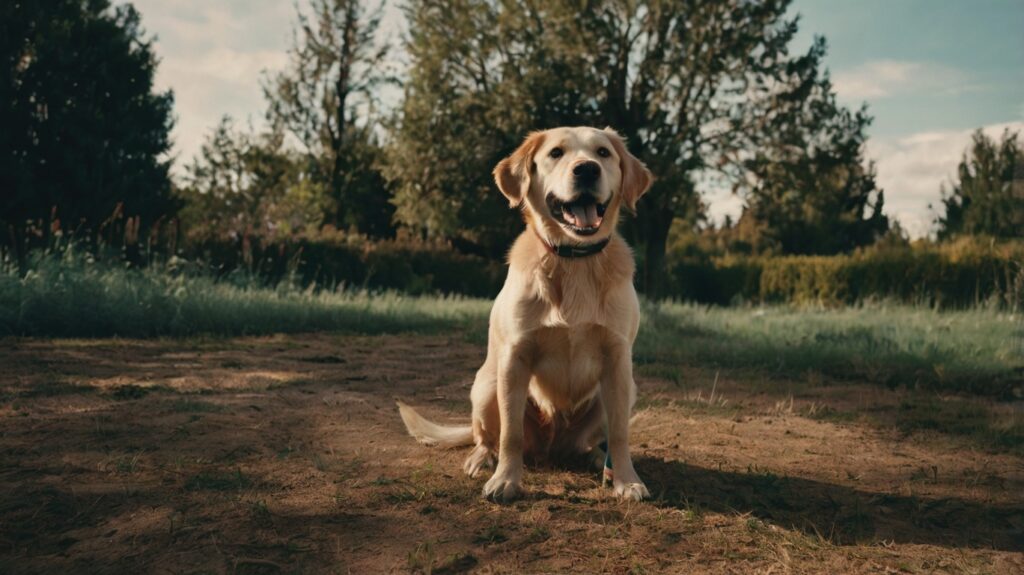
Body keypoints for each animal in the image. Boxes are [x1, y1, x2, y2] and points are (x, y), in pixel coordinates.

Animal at [395, 125, 651, 497]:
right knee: (487, 437)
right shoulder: (515, 358)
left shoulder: (618, 361)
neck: (573, 260)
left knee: (591, 443)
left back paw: (595, 459)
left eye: (603, 153)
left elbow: (619, 435)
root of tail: (551, 449)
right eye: (556, 153)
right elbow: (510, 434)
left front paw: (627, 480)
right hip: (487, 386)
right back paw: (481, 458)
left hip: (621, 392)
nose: (587, 169)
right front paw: (506, 479)